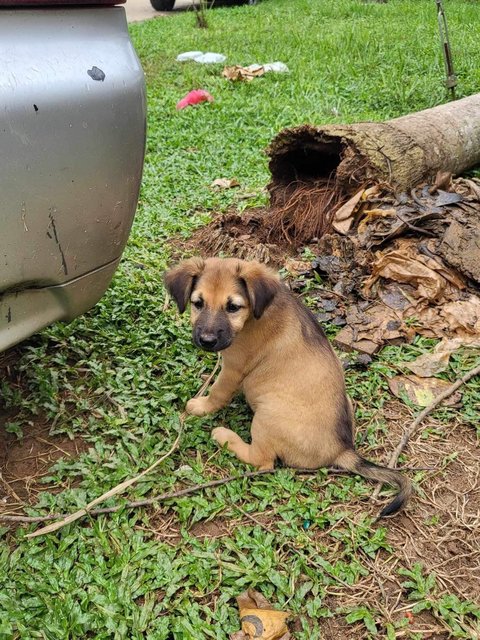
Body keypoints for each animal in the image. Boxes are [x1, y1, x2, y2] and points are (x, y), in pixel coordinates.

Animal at [165, 255, 412, 516]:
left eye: (233, 307)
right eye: (198, 303)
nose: (207, 341)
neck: (254, 314)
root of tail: (341, 449)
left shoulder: (234, 368)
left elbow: (218, 392)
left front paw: (201, 407)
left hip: (268, 414)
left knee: (262, 461)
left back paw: (224, 436)